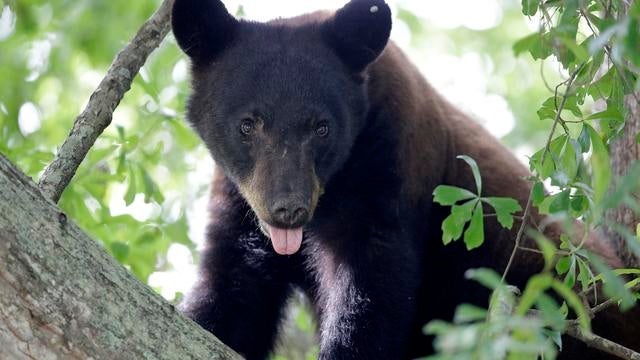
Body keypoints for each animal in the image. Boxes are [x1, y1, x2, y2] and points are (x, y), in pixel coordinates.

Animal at [171, 0, 640, 360]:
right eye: (248, 124)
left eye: (322, 127)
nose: (288, 209)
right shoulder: (239, 202)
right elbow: (233, 288)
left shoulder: (389, 166)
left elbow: (371, 289)